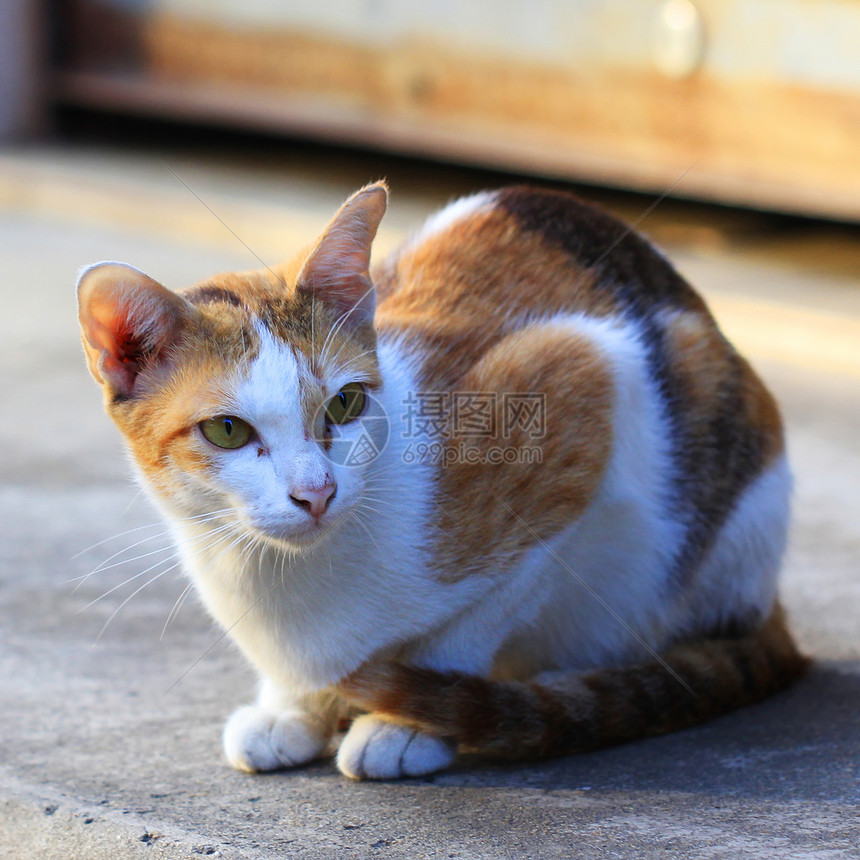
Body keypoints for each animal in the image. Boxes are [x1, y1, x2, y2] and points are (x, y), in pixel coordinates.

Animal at [77, 180, 808, 780]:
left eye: (345, 404)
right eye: (227, 431)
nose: (317, 493)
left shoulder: (587, 381)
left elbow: (477, 620)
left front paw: (407, 721)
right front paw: (292, 708)